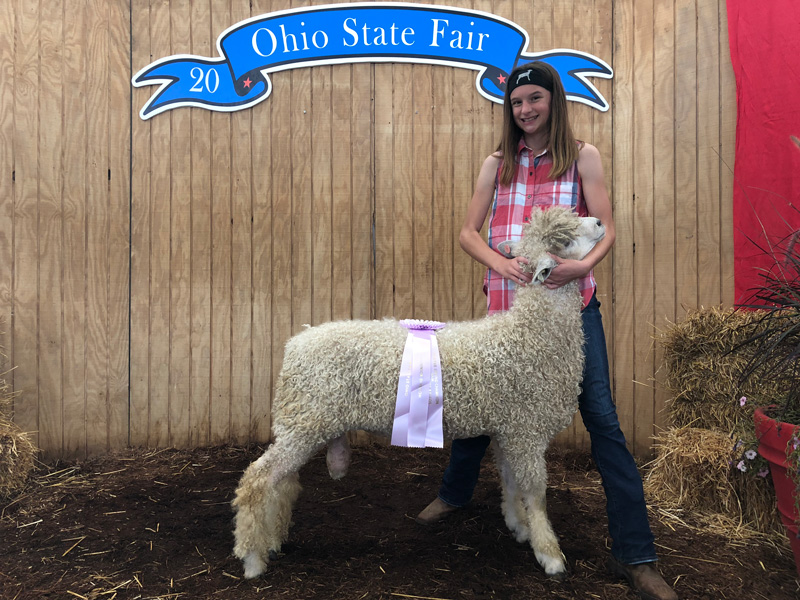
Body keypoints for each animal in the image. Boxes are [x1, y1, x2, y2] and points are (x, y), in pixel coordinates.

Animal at [231, 207, 608, 580]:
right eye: (566, 241)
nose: (601, 221)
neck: (529, 335)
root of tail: (295, 344)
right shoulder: (527, 429)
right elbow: (535, 492)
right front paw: (550, 554)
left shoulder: (509, 428)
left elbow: (511, 483)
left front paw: (519, 527)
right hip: (305, 421)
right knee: (257, 480)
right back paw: (251, 559)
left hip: (301, 423)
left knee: (283, 483)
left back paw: (273, 541)